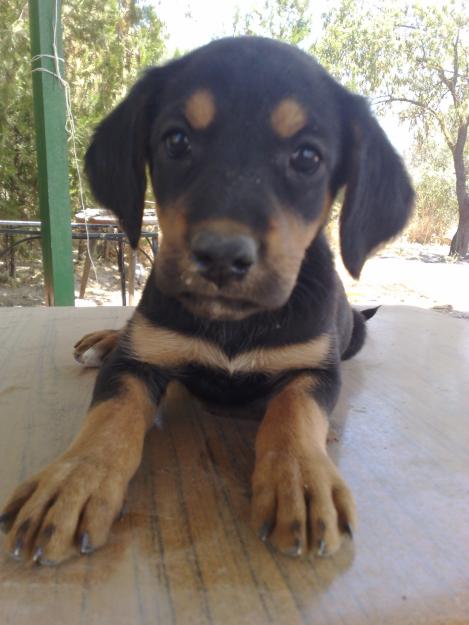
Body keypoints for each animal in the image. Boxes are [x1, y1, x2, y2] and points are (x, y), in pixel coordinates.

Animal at [0, 36, 412, 564]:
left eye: (307, 157)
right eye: (176, 141)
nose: (221, 256)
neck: (232, 324)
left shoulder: (315, 368)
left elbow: (294, 411)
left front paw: (300, 480)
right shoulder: (137, 362)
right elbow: (109, 417)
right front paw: (73, 481)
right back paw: (106, 339)